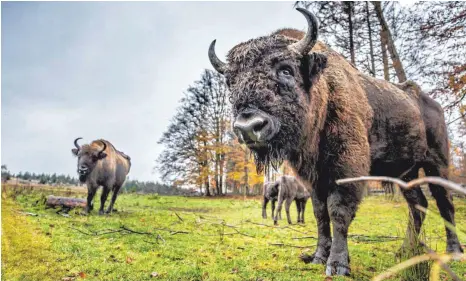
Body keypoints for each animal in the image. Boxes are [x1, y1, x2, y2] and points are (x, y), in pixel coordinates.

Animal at [208, 7, 462, 274]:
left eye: (286, 69)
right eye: (231, 82)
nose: (248, 126)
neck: (324, 94)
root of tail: (430, 102)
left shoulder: (346, 170)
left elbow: (338, 212)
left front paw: (338, 265)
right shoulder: (313, 178)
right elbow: (321, 215)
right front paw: (318, 257)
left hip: (437, 163)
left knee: (444, 203)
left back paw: (453, 252)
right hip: (405, 174)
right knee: (418, 206)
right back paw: (404, 251)